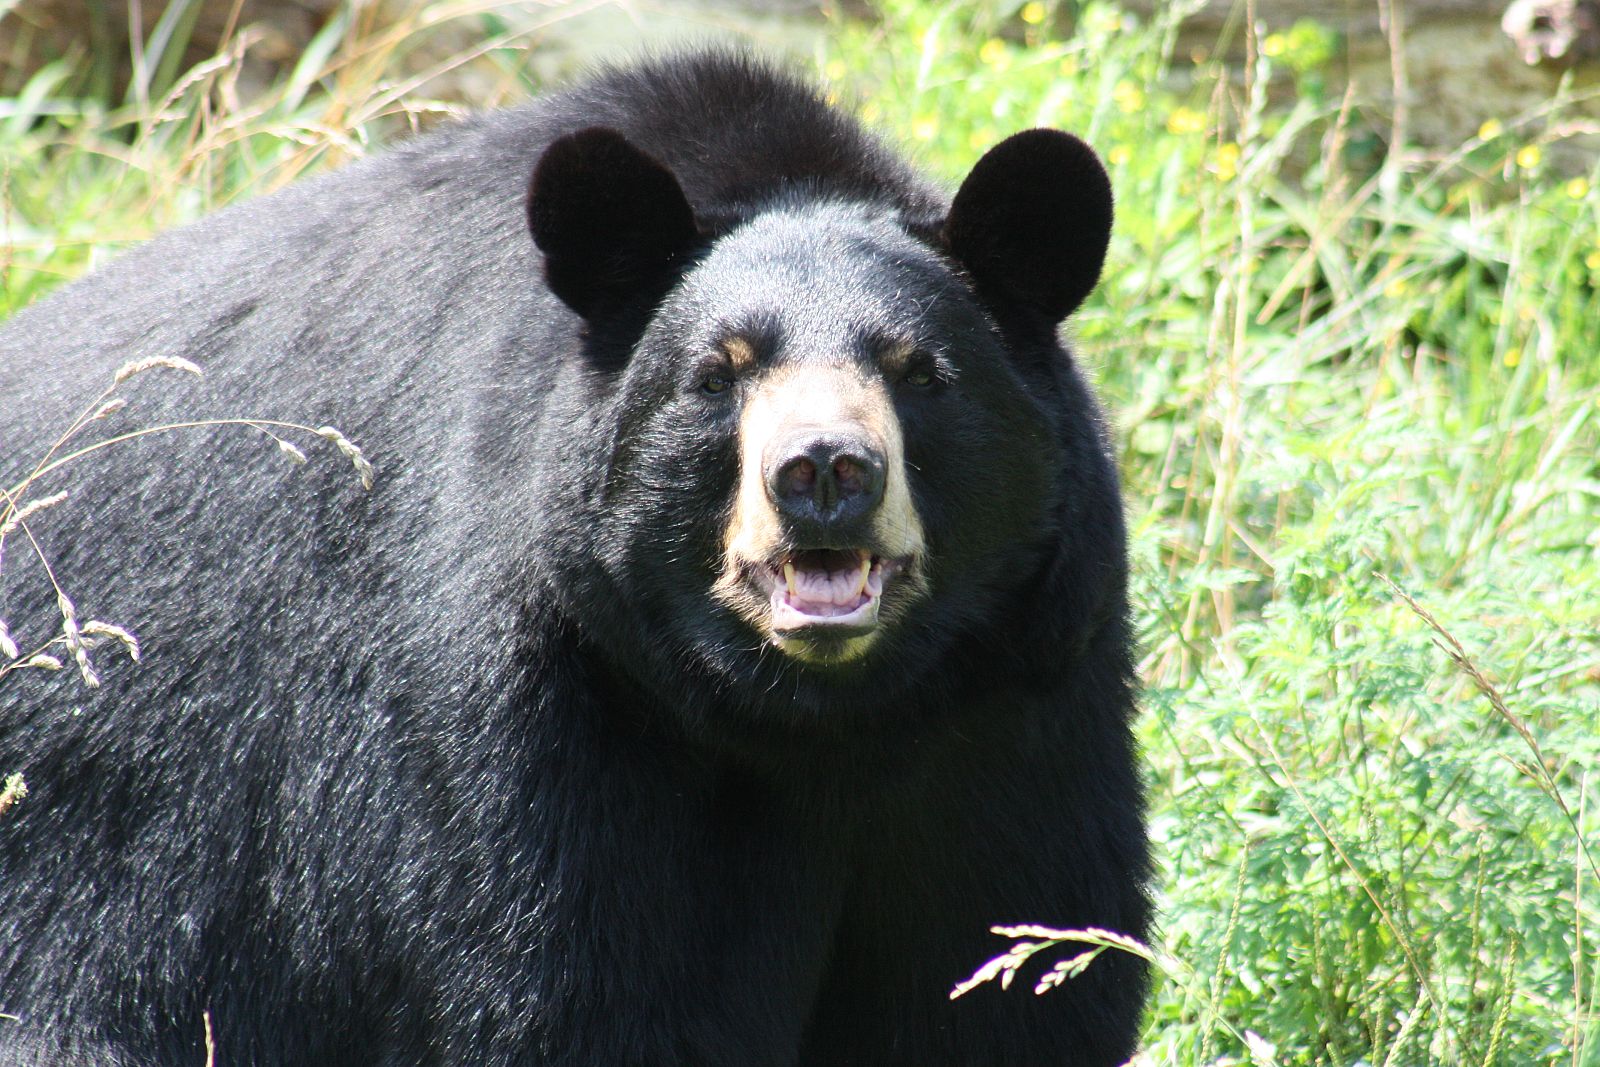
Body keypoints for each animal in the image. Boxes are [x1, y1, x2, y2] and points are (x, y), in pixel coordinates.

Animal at [0, 52, 1148, 1066]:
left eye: (919, 371)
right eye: (717, 373)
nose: (823, 469)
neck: (813, 718)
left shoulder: (1017, 703)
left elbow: (1011, 973)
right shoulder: (548, 698)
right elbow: (566, 990)